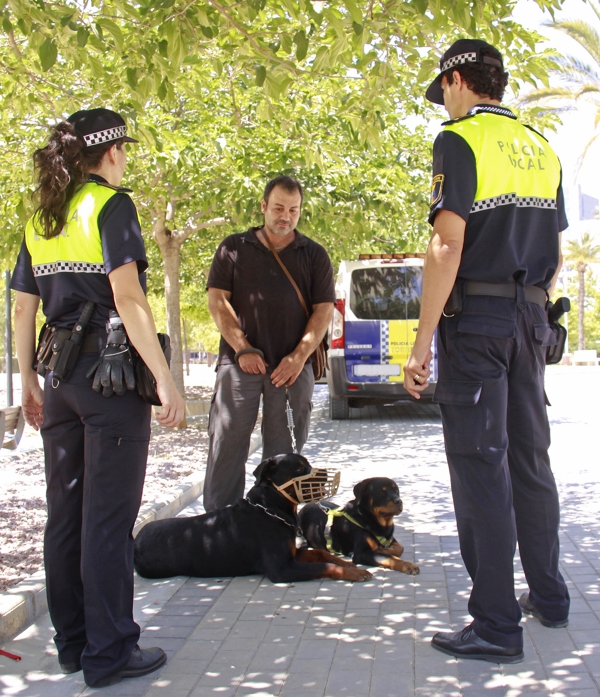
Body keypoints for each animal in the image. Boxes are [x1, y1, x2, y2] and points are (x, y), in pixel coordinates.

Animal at [134, 454, 372, 584]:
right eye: (299, 468)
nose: (324, 475)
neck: (270, 508)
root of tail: (135, 540)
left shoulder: (292, 553)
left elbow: (323, 553)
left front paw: (347, 563)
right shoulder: (281, 568)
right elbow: (325, 566)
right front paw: (352, 572)